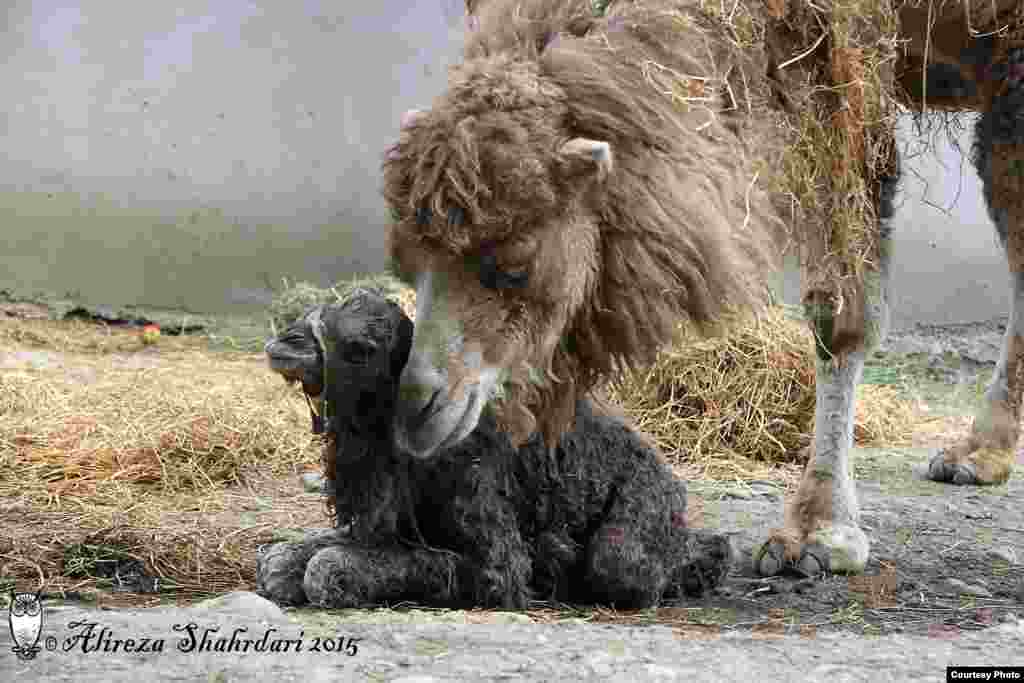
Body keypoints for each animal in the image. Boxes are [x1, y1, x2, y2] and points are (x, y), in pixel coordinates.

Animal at [260, 288, 733, 610]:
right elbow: (285, 559)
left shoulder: (492, 550)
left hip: (630, 536)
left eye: (363, 347)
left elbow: (334, 567)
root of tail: (670, 478)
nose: (286, 343)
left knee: (628, 565)